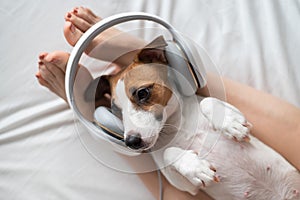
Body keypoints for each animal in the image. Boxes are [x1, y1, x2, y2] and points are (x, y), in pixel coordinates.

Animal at [86, 36, 300, 200]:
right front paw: (197, 167)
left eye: (142, 93)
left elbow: (208, 102)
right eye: (115, 110)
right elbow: (169, 152)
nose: (131, 142)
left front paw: (231, 124)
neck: (178, 126)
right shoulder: (184, 185)